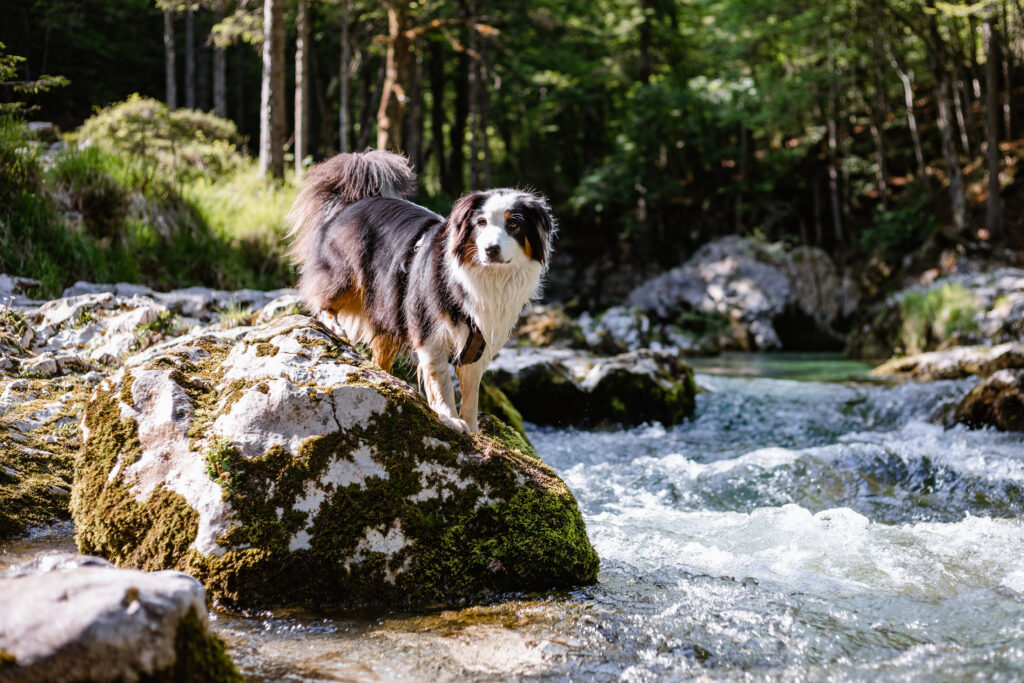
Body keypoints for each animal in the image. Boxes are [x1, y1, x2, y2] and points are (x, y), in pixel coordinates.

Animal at [288, 152, 557, 436]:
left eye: (514, 224)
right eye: (481, 223)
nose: (490, 250)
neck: (487, 276)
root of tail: (352, 202)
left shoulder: (479, 339)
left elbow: (472, 389)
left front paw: (472, 426)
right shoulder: (429, 327)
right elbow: (441, 380)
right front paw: (450, 418)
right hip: (346, 275)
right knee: (320, 296)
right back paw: (334, 324)